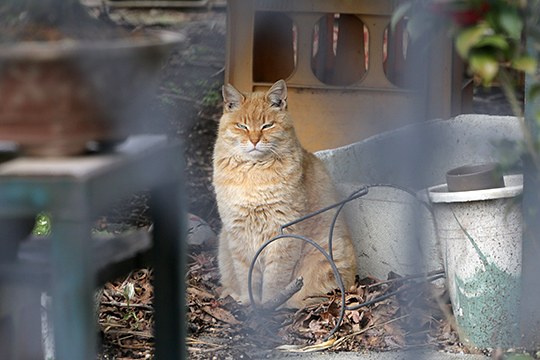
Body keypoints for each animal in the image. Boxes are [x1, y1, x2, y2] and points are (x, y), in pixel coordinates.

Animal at [212, 80, 358, 308]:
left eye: (267, 125)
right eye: (242, 126)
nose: (254, 140)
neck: (254, 173)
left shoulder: (282, 233)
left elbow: (274, 278)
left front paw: (268, 305)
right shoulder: (238, 235)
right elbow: (247, 275)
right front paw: (249, 302)